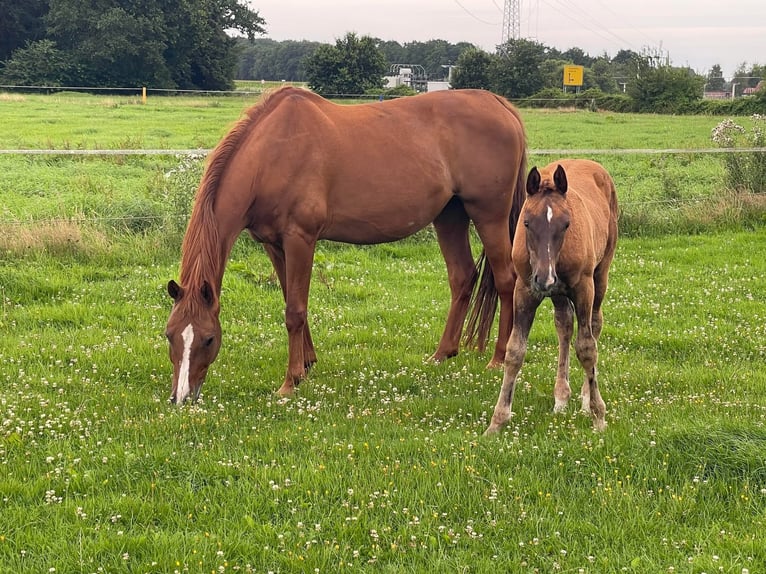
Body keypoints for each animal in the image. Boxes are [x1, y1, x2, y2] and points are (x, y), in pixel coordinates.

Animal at [165, 86, 528, 404]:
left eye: (209, 339)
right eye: (169, 335)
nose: (181, 397)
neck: (272, 154)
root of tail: (498, 104)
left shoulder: (300, 239)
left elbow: (294, 310)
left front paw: (290, 381)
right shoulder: (274, 244)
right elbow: (291, 299)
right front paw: (307, 363)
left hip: (488, 215)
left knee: (506, 280)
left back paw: (498, 359)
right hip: (450, 215)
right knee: (462, 277)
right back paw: (442, 353)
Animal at [484, 159, 618, 434]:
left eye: (566, 224)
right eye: (526, 223)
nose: (544, 279)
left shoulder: (584, 288)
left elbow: (587, 348)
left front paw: (598, 416)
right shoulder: (525, 290)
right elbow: (514, 352)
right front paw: (497, 421)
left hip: (600, 275)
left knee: (595, 324)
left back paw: (585, 398)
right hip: (558, 294)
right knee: (564, 326)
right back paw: (561, 398)